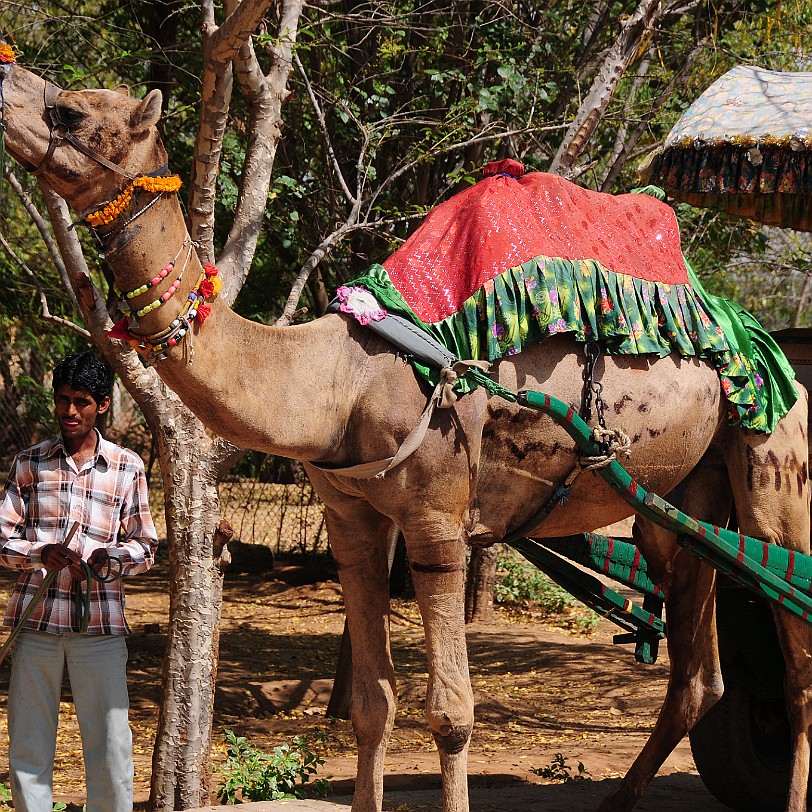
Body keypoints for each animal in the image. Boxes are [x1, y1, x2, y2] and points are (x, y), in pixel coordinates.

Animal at [4, 61, 812, 812]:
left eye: (72, 111)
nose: (9, 78)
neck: (339, 380)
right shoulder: (353, 520)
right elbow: (372, 703)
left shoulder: (437, 521)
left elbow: (451, 714)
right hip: (681, 508)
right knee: (699, 668)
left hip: (775, 472)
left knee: (796, 664)